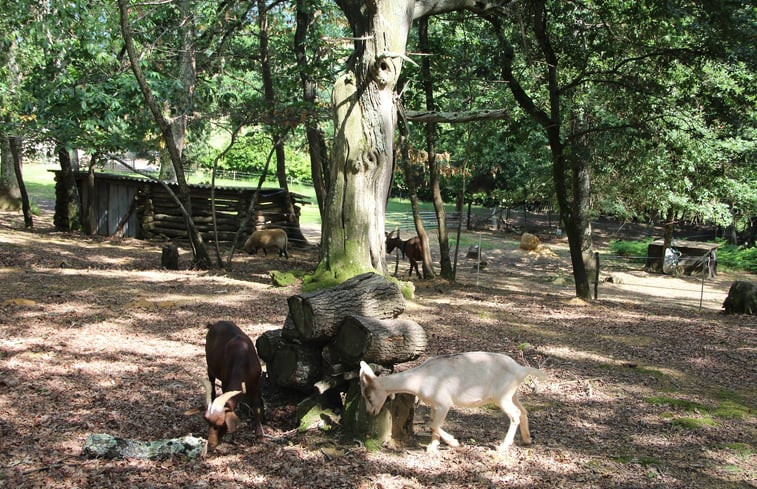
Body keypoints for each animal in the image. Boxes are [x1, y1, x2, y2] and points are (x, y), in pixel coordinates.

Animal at [204, 320, 266, 450]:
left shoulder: (256, 383)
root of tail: (214, 324)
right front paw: (232, 436)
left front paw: (260, 435)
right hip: (210, 367)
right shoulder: (225, 381)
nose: (211, 444)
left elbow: (256, 407)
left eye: (219, 425)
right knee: (212, 386)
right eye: (208, 423)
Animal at [358, 350, 548, 450]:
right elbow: (433, 423)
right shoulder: (434, 405)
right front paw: (432, 447)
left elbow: (432, 424)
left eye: (368, 395)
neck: (419, 381)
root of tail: (521, 369)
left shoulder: (444, 402)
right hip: (512, 394)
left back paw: (503, 446)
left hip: (502, 395)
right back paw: (527, 439)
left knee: (515, 414)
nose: (369, 411)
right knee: (523, 411)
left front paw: (453, 442)